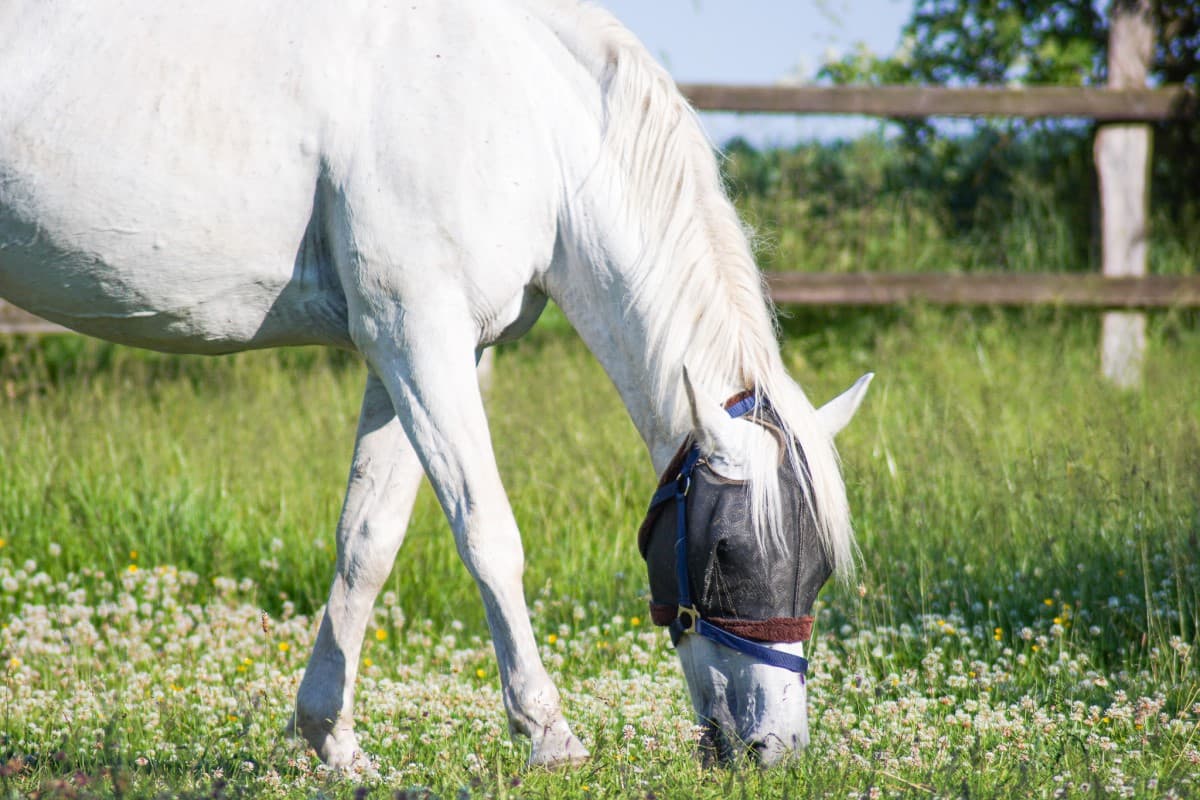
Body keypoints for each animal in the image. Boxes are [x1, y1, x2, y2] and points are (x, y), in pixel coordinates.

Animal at [0, 0, 871, 767]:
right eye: (725, 550)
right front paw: (549, 734)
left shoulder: (419, 357)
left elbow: (368, 540)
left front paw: (332, 741)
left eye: (820, 564)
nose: (774, 749)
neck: (532, 119)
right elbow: (489, 536)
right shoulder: (418, 335)